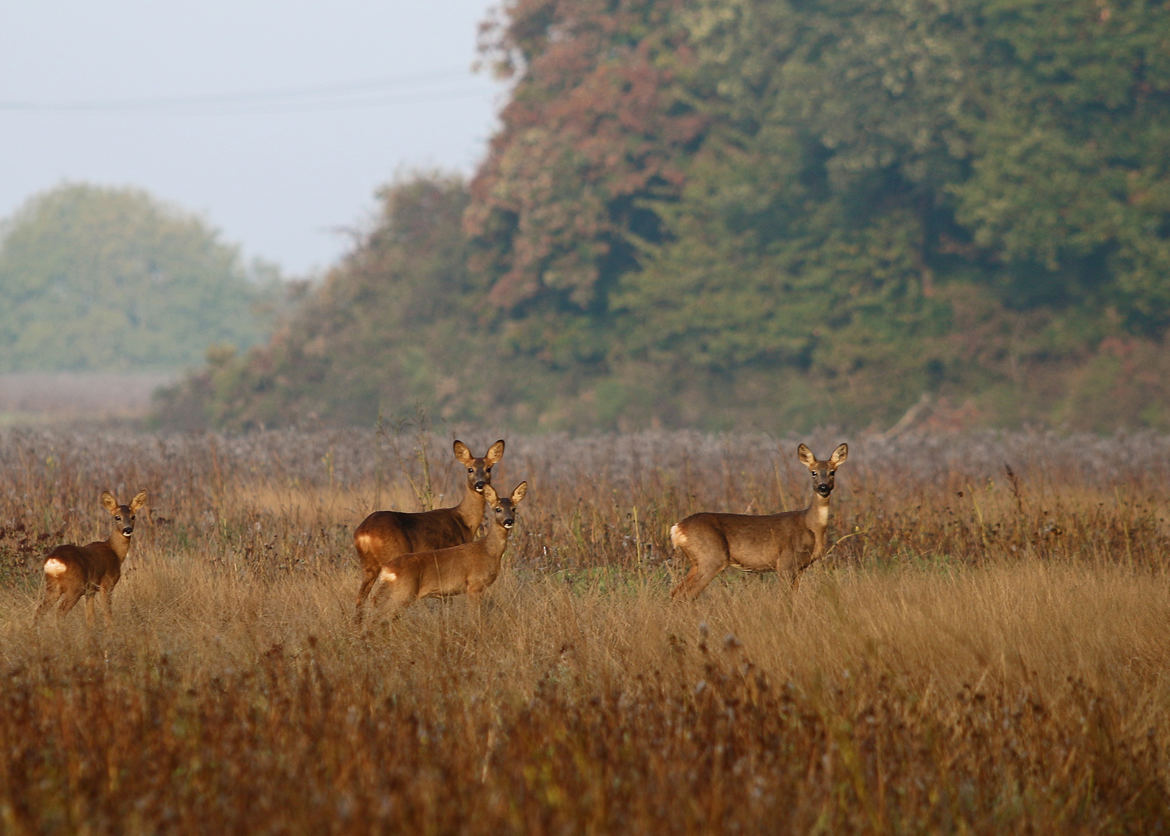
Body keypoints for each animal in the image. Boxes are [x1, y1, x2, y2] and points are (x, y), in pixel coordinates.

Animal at [34, 491, 148, 626]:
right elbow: (107, 615)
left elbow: (90, 618)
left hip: (52, 586)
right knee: (60, 612)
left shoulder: (90, 591)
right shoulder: (106, 584)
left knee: (39, 611)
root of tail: (53, 560)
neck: (115, 552)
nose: (128, 529)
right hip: (75, 587)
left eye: (133, 516)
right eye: (117, 517)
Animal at [353, 437, 505, 622]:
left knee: (360, 600)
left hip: (368, 567)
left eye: (489, 468)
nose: (480, 484)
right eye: (470, 469)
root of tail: (363, 533)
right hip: (392, 557)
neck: (463, 520)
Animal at [372, 481, 528, 626]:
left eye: (514, 509)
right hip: (403, 592)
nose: (509, 521)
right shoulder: (474, 585)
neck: (488, 551)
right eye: (498, 509)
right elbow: (474, 618)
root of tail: (387, 569)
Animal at [669, 444, 851, 603]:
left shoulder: (800, 568)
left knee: (675, 592)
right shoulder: (785, 563)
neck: (811, 526)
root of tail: (677, 528)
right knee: (685, 595)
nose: (823, 487)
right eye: (813, 472)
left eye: (832, 472)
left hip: (696, 561)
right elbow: (785, 599)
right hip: (711, 557)